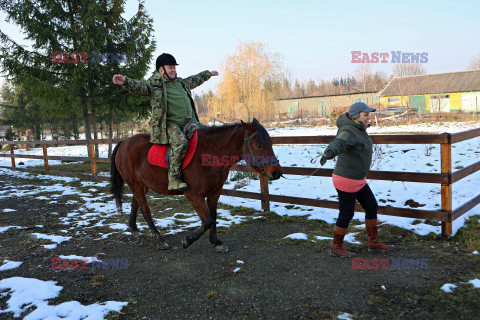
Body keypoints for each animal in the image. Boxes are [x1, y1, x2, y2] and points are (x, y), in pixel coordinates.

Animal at [110, 118, 284, 252]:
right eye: (259, 145)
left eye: (270, 143)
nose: (276, 172)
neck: (209, 154)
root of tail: (124, 142)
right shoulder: (193, 195)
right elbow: (207, 220)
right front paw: (187, 240)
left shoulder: (214, 192)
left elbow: (213, 217)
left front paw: (216, 242)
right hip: (135, 183)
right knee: (145, 209)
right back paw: (158, 238)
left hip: (142, 184)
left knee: (135, 203)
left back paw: (134, 229)